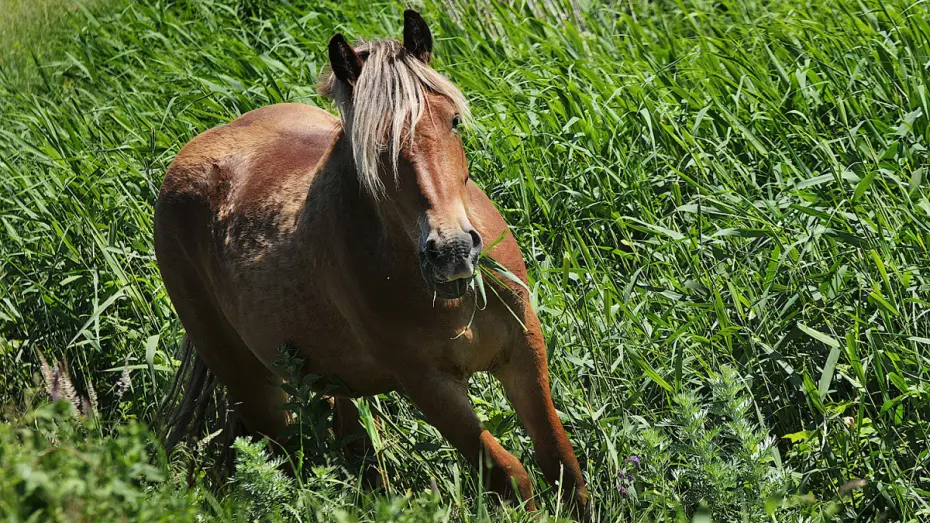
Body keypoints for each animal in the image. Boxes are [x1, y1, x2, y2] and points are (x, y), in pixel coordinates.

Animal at [153, 10, 588, 516]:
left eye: (453, 121)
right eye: (378, 148)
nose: (453, 251)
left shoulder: (524, 349)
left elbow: (561, 462)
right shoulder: (428, 385)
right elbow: (511, 476)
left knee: (356, 448)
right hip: (259, 395)